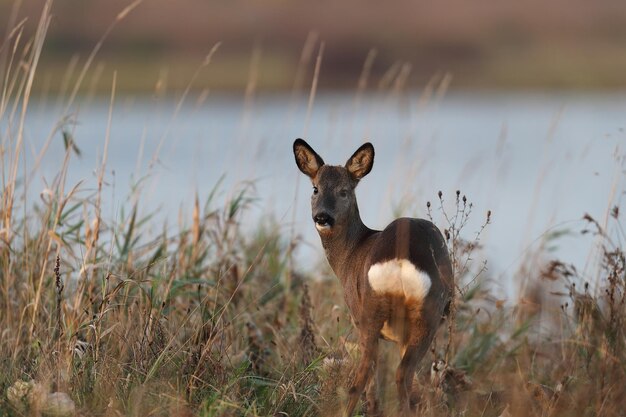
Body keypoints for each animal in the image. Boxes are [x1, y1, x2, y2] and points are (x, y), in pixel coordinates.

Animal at [292, 138, 454, 414]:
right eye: (315, 189)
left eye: (344, 191)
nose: (322, 217)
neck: (351, 253)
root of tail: (399, 261)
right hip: (419, 314)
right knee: (397, 374)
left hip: (376, 313)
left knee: (372, 373)